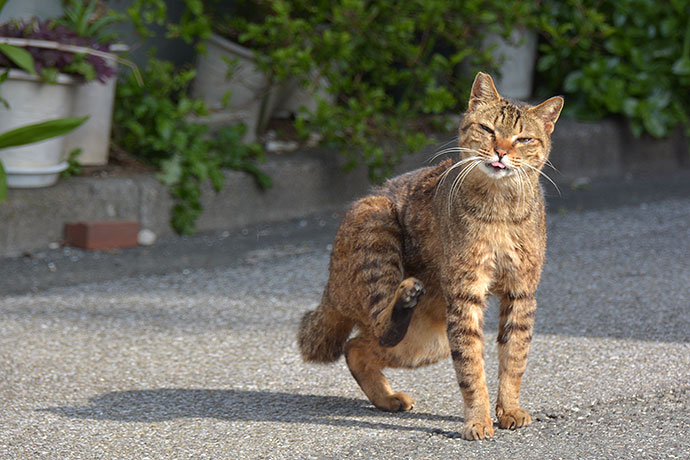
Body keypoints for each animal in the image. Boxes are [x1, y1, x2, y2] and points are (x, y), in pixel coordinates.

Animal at [296, 71, 560, 438]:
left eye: (523, 139)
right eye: (488, 129)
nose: (501, 151)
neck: (499, 209)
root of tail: (330, 288)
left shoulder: (520, 292)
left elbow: (514, 357)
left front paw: (508, 409)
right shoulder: (465, 294)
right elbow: (471, 368)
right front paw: (478, 420)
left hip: (426, 341)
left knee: (357, 347)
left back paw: (387, 398)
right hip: (377, 225)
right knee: (378, 326)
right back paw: (405, 295)